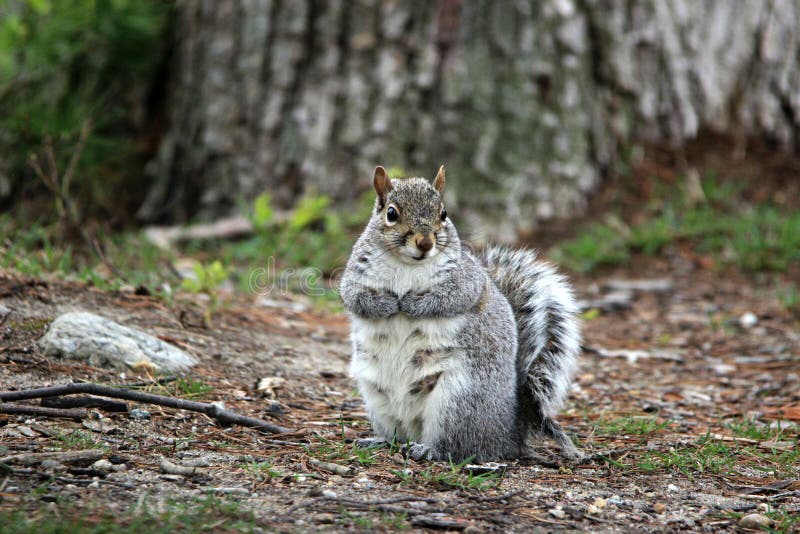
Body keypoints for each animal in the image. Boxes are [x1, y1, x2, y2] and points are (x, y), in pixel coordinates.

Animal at [340, 165, 580, 462]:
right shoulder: (356, 275)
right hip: (377, 398)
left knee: (457, 447)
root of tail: (509, 434)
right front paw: (388, 304)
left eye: (443, 214)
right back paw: (380, 441)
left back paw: (428, 449)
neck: (406, 265)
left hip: (458, 401)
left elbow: (452, 298)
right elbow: (355, 298)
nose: (425, 242)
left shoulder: (467, 280)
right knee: (398, 435)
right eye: (391, 214)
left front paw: (411, 304)